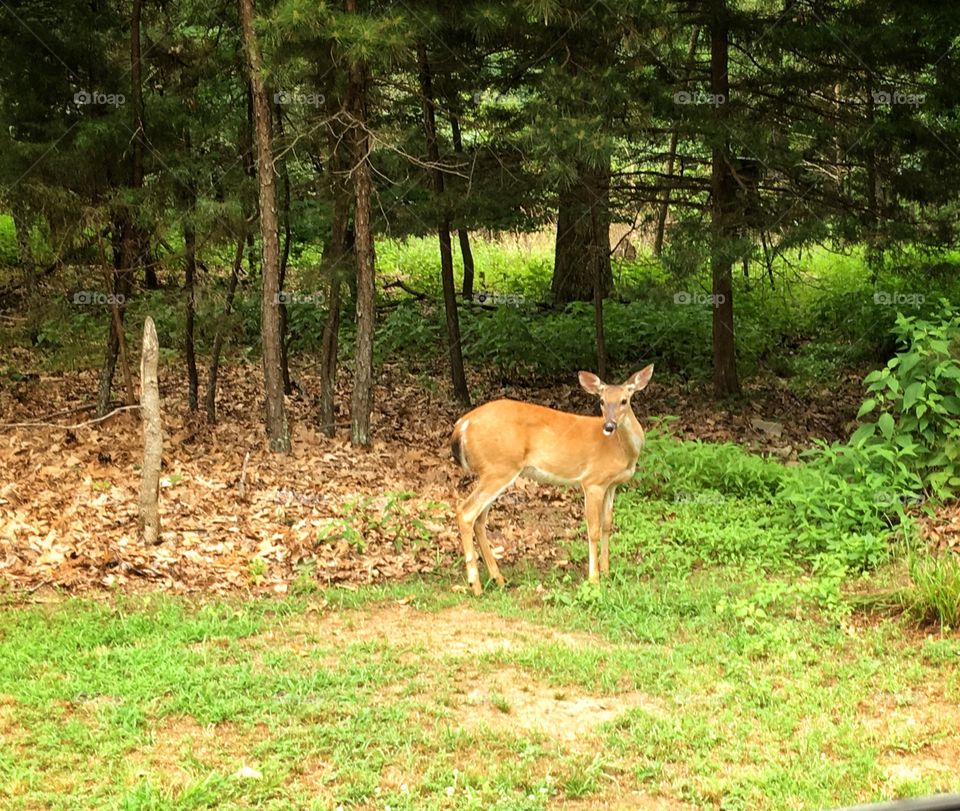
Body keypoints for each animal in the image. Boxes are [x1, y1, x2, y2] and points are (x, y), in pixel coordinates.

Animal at [450, 365, 654, 594]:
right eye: (601, 401)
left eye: (624, 400)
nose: (609, 426)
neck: (622, 450)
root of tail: (462, 424)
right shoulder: (592, 481)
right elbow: (593, 529)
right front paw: (594, 579)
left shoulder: (611, 485)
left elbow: (607, 525)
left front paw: (607, 571)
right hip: (499, 467)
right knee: (465, 511)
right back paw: (475, 585)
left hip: (495, 471)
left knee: (479, 519)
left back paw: (498, 578)